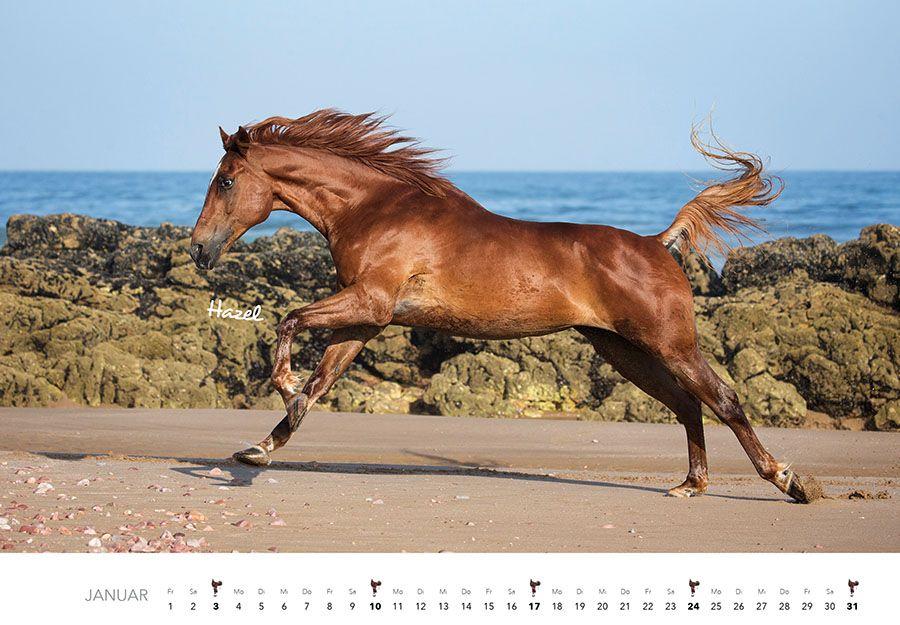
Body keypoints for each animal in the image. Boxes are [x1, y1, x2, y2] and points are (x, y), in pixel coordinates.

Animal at [189, 108, 821, 504]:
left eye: (226, 181)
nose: (198, 248)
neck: (376, 208)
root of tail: (657, 243)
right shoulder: (368, 318)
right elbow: (321, 382)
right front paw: (260, 448)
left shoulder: (369, 301)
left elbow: (290, 321)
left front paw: (283, 385)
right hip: (623, 350)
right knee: (689, 405)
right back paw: (691, 485)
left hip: (667, 343)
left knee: (723, 399)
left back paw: (790, 481)